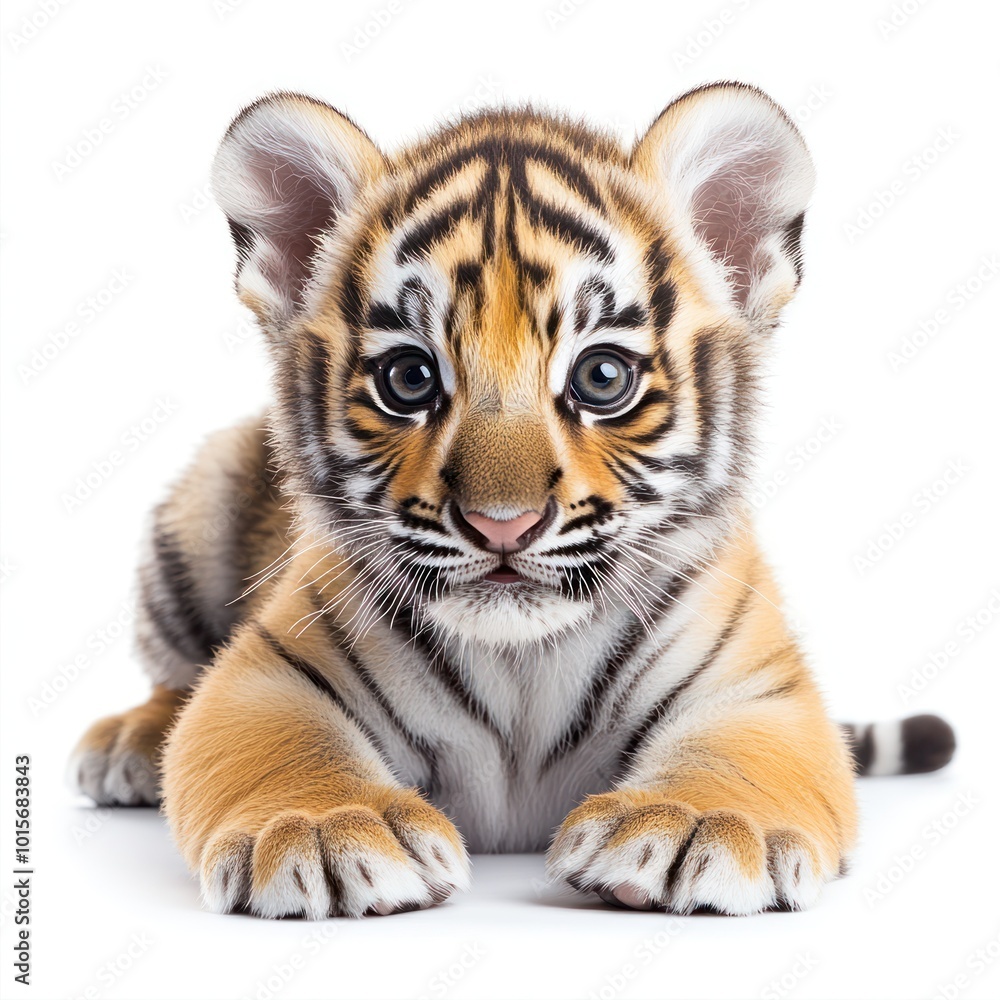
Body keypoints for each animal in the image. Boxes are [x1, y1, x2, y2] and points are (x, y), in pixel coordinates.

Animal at [71, 82, 956, 919]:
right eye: (408, 379)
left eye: (603, 376)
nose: (505, 525)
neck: (522, 665)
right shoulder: (267, 673)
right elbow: (281, 747)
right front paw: (324, 830)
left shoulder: (755, 690)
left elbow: (736, 757)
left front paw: (693, 824)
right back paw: (130, 741)